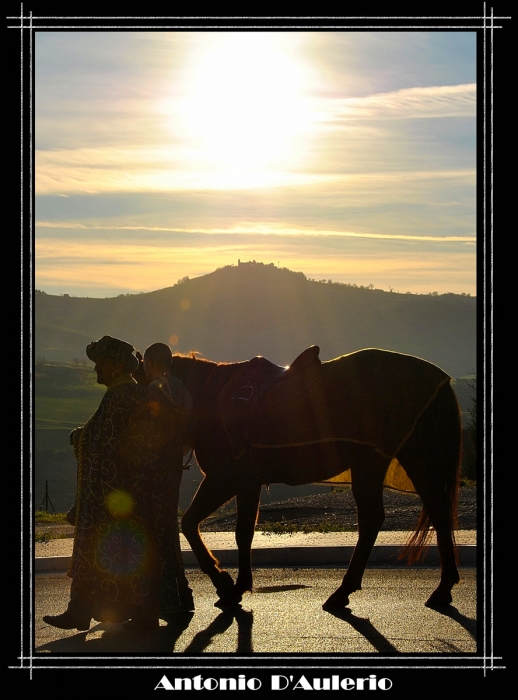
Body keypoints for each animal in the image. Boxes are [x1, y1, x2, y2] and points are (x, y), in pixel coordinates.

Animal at [168, 348, 464, 608]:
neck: (207, 396)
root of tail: (440, 380)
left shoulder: (225, 479)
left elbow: (197, 524)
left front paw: (225, 583)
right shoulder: (245, 484)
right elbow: (237, 531)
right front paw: (236, 585)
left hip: (383, 462)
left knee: (379, 519)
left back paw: (346, 591)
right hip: (399, 462)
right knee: (431, 513)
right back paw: (442, 588)